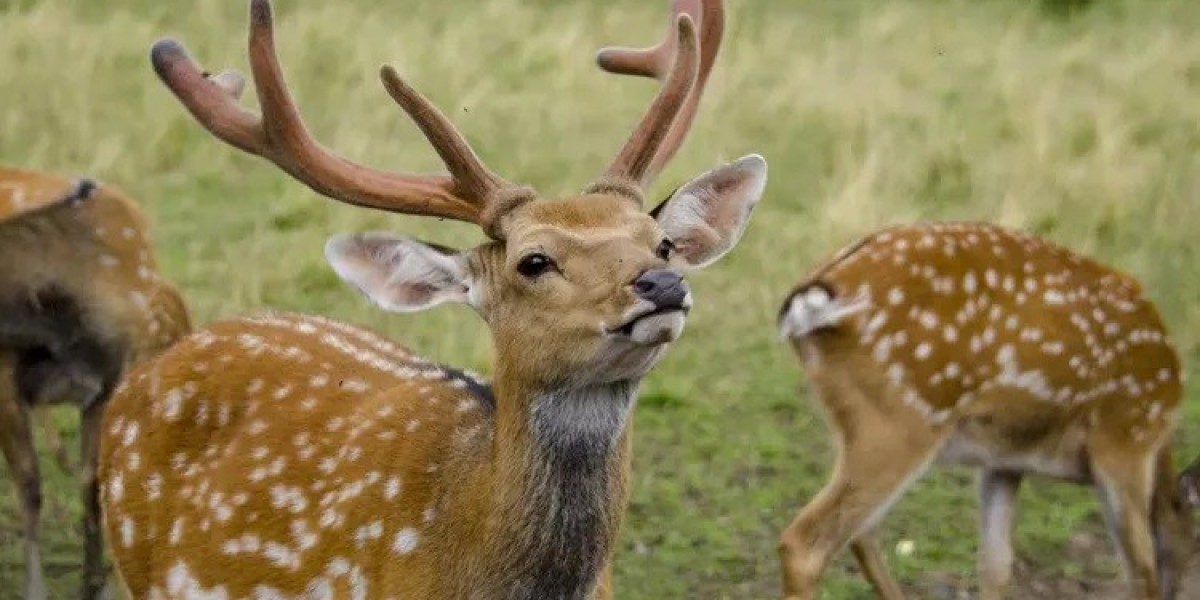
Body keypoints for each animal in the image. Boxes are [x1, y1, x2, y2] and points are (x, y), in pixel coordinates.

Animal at [0, 166, 192, 600]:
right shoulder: (3, 377)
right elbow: (30, 484)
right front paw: (34, 589)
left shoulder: (105, 384)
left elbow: (90, 485)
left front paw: (94, 585)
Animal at [775, 221, 1193, 600]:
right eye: (1197, 542)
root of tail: (816, 294)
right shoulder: (1125, 441)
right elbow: (1142, 573)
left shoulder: (1003, 462)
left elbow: (996, 566)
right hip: (901, 419)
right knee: (807, 543)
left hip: (856, 420)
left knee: (859, 531)